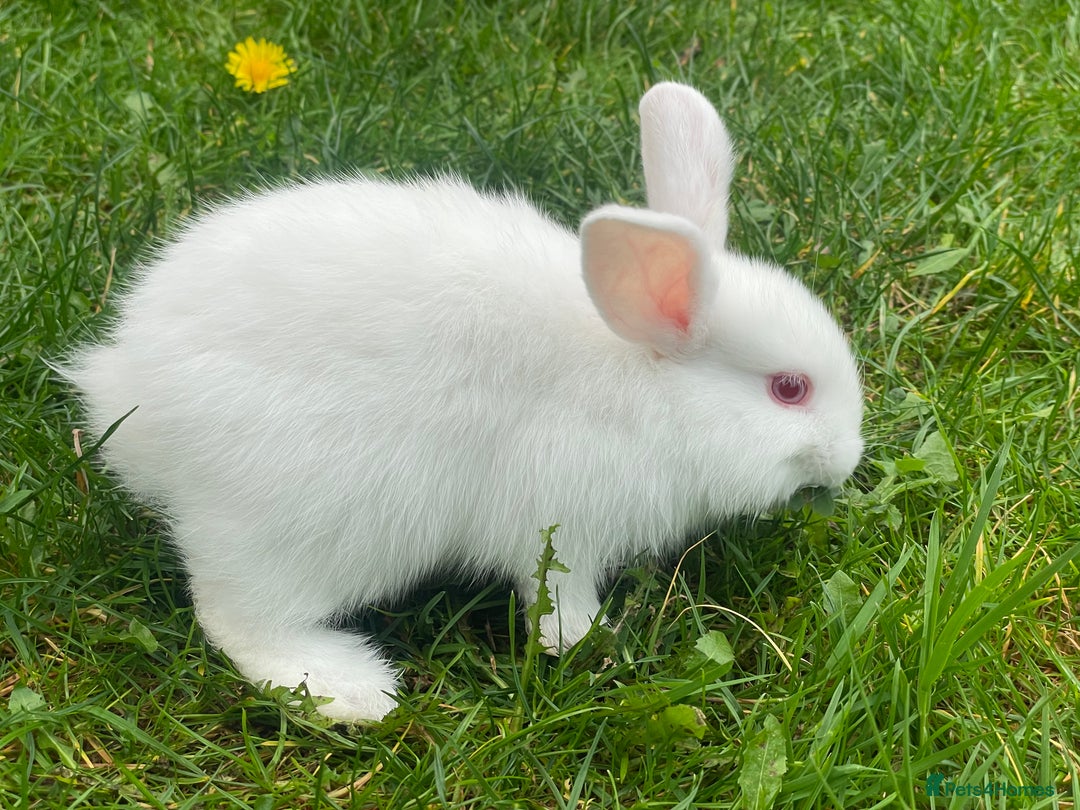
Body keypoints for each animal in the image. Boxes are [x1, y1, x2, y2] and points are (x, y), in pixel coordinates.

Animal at [64, 82, 864, 723]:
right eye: (789, 389)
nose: (849, 457)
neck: (645, 380)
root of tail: (130, 388)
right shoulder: (562, 519)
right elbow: (557, 598)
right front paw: (592, 644)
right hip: (308, 524)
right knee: (238, 615)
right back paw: (352, 691)